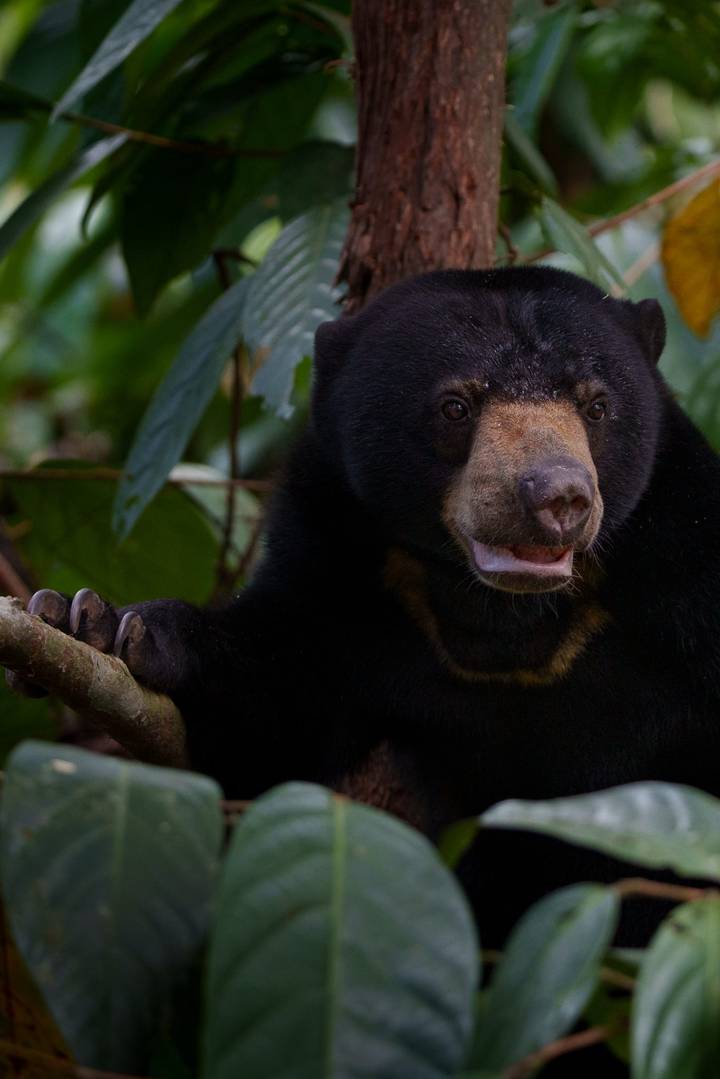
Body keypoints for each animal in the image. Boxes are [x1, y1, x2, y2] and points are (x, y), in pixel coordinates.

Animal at [11, 265, 720, 952]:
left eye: (597, 405)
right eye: (455, 406)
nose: (557, 497)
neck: (501, 615)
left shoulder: (686, 571)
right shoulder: (333, 560)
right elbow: (261, 727)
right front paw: (91, 623)